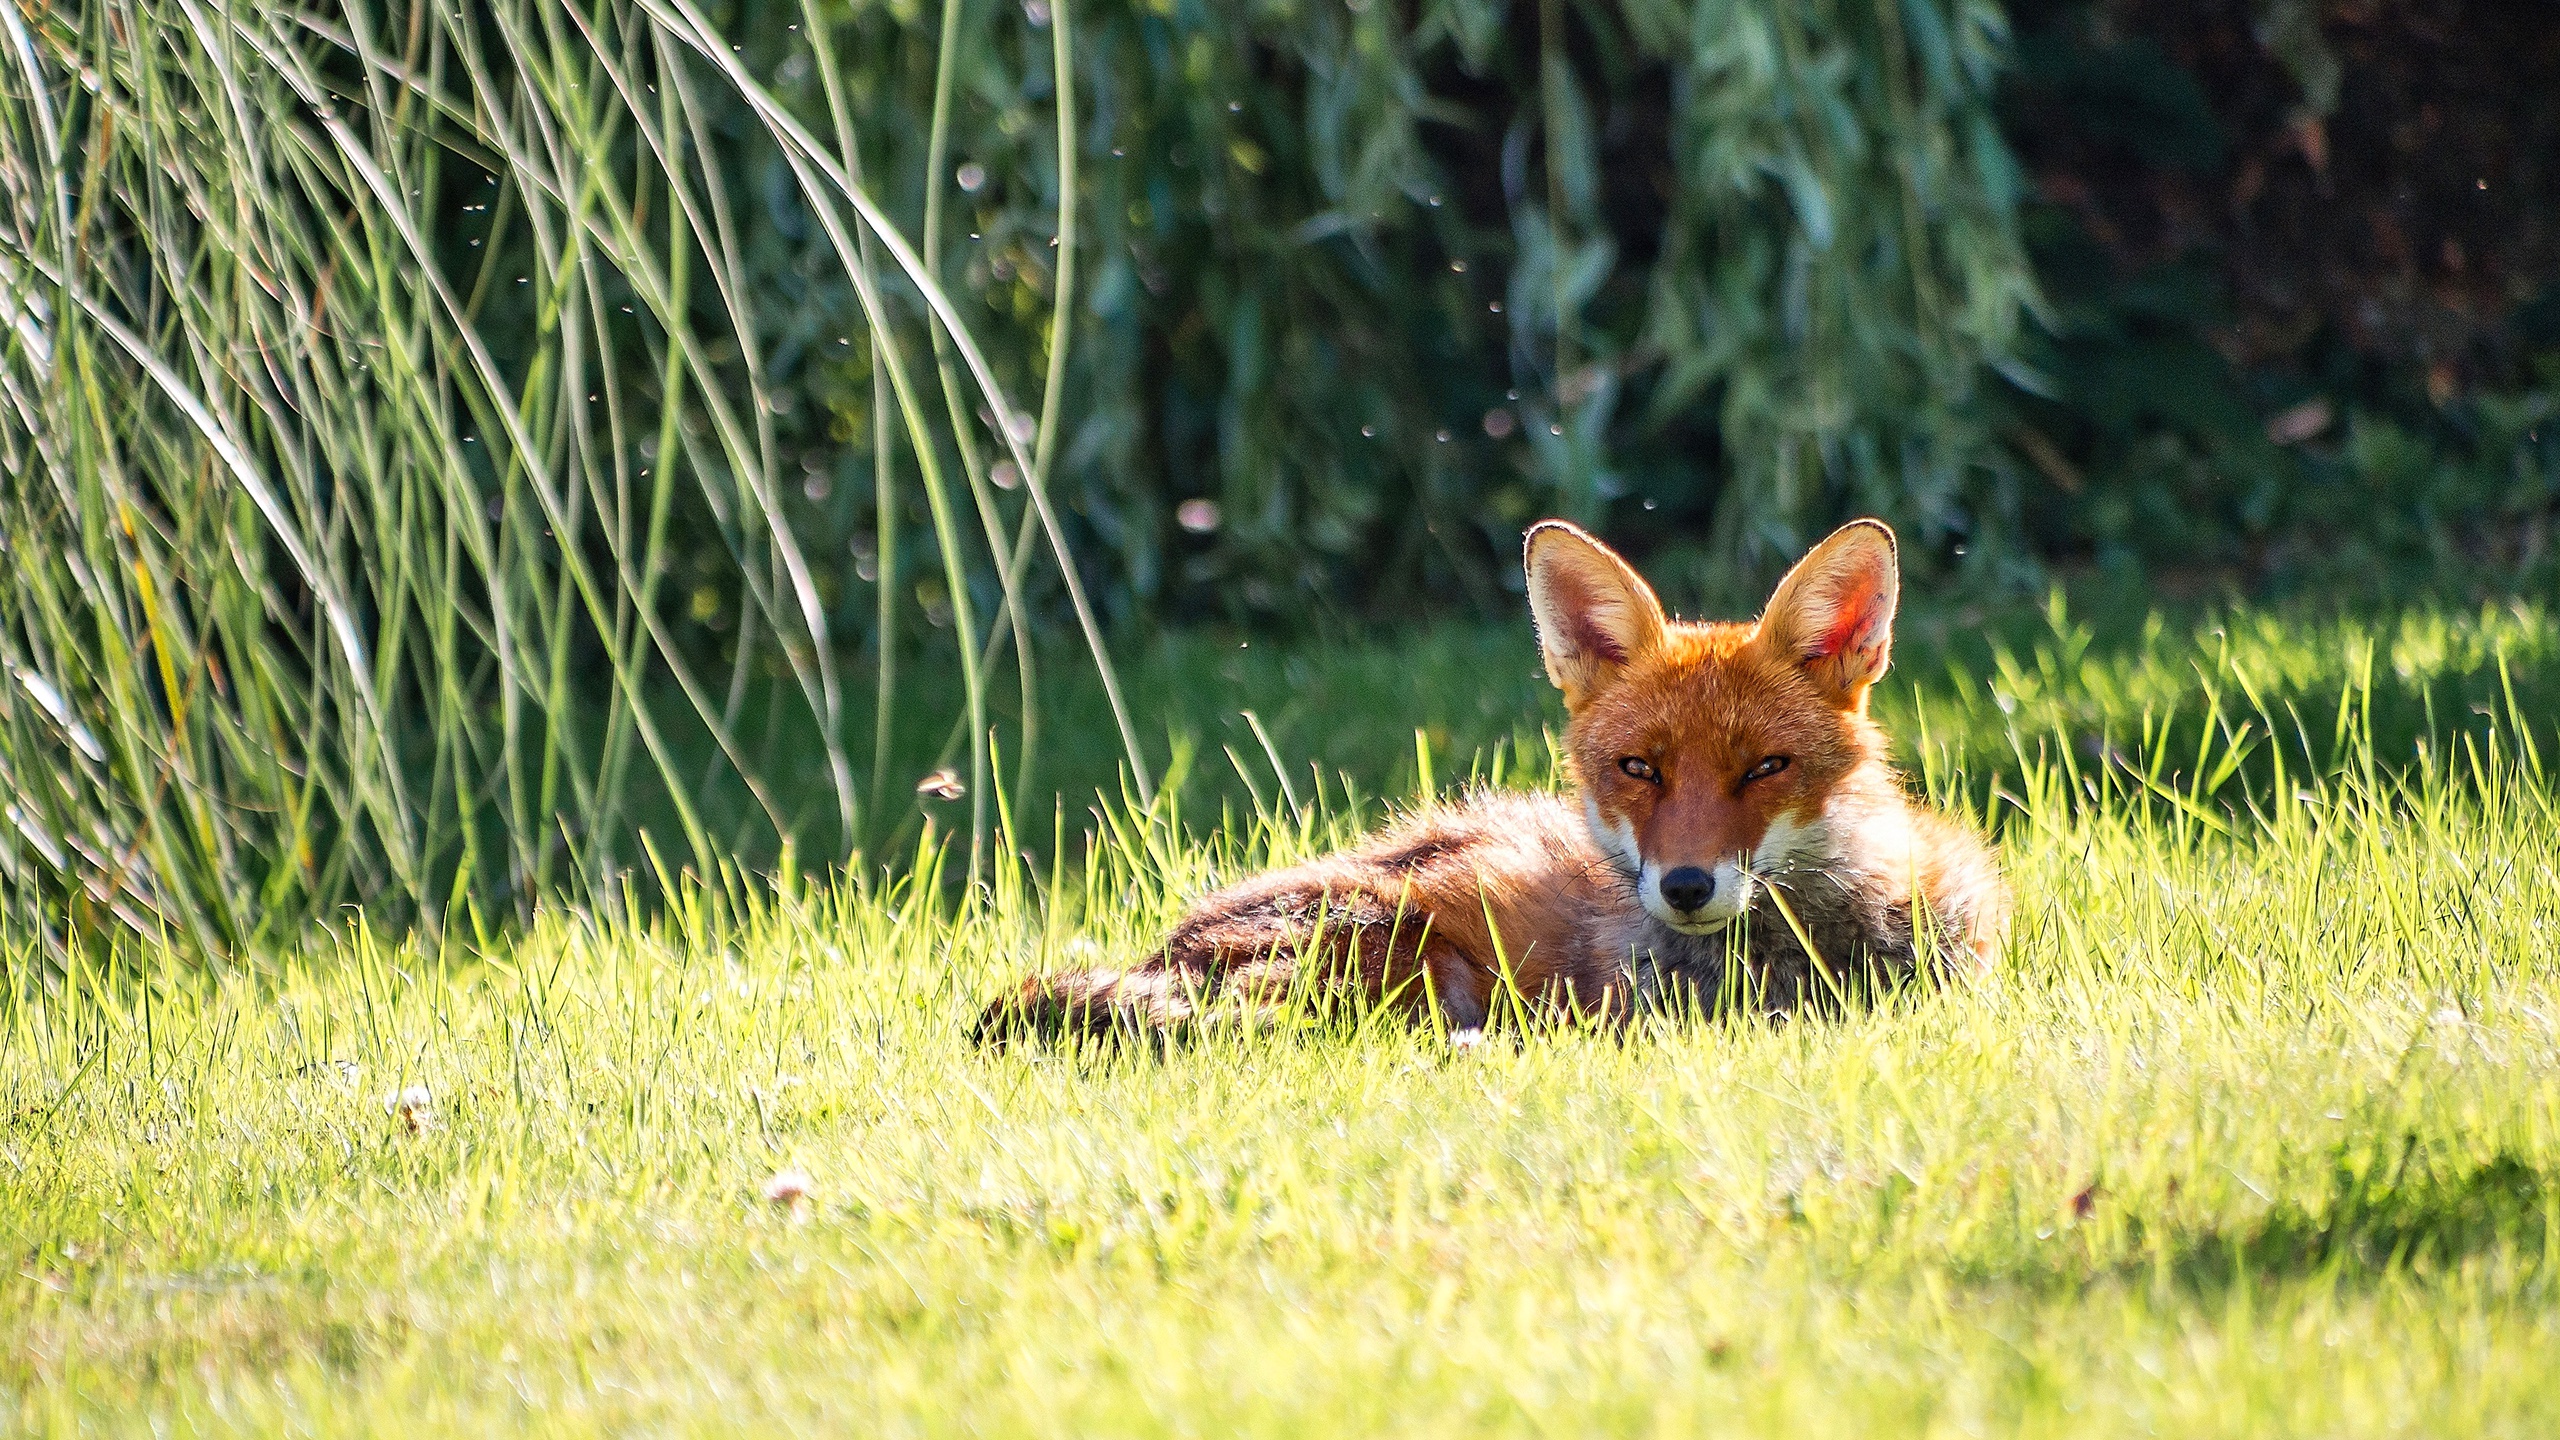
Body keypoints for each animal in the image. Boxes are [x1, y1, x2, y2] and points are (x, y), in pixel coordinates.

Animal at [972, 515, 1996, 1040]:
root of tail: (1163, 948)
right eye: (1639, 770)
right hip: (1397, 945)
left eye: (1766, 770)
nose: (1686, 885)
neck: (1811, 958)